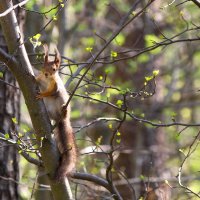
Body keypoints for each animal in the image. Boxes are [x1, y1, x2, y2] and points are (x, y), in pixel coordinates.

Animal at [35, 44, 76, 180]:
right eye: (43, 66)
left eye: (54, 68)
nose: (47, 74)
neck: (47, 80)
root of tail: (60, 119)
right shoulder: (41, 79)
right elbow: (37, 80)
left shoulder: (56, 86)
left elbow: (51, 92)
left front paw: (42, 95)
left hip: (63, 105)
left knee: (64, 111)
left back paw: (64, 110)